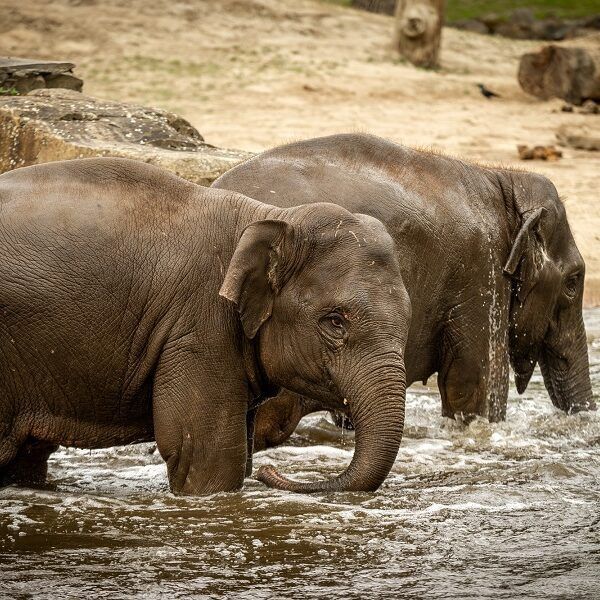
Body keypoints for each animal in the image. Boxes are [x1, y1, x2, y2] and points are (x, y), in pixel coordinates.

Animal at [0, 157, 412, 494]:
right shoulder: (198, 327)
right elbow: (205, 454)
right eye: (335, 321)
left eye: (408, 319)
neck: (272, 216)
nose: (269, 473)